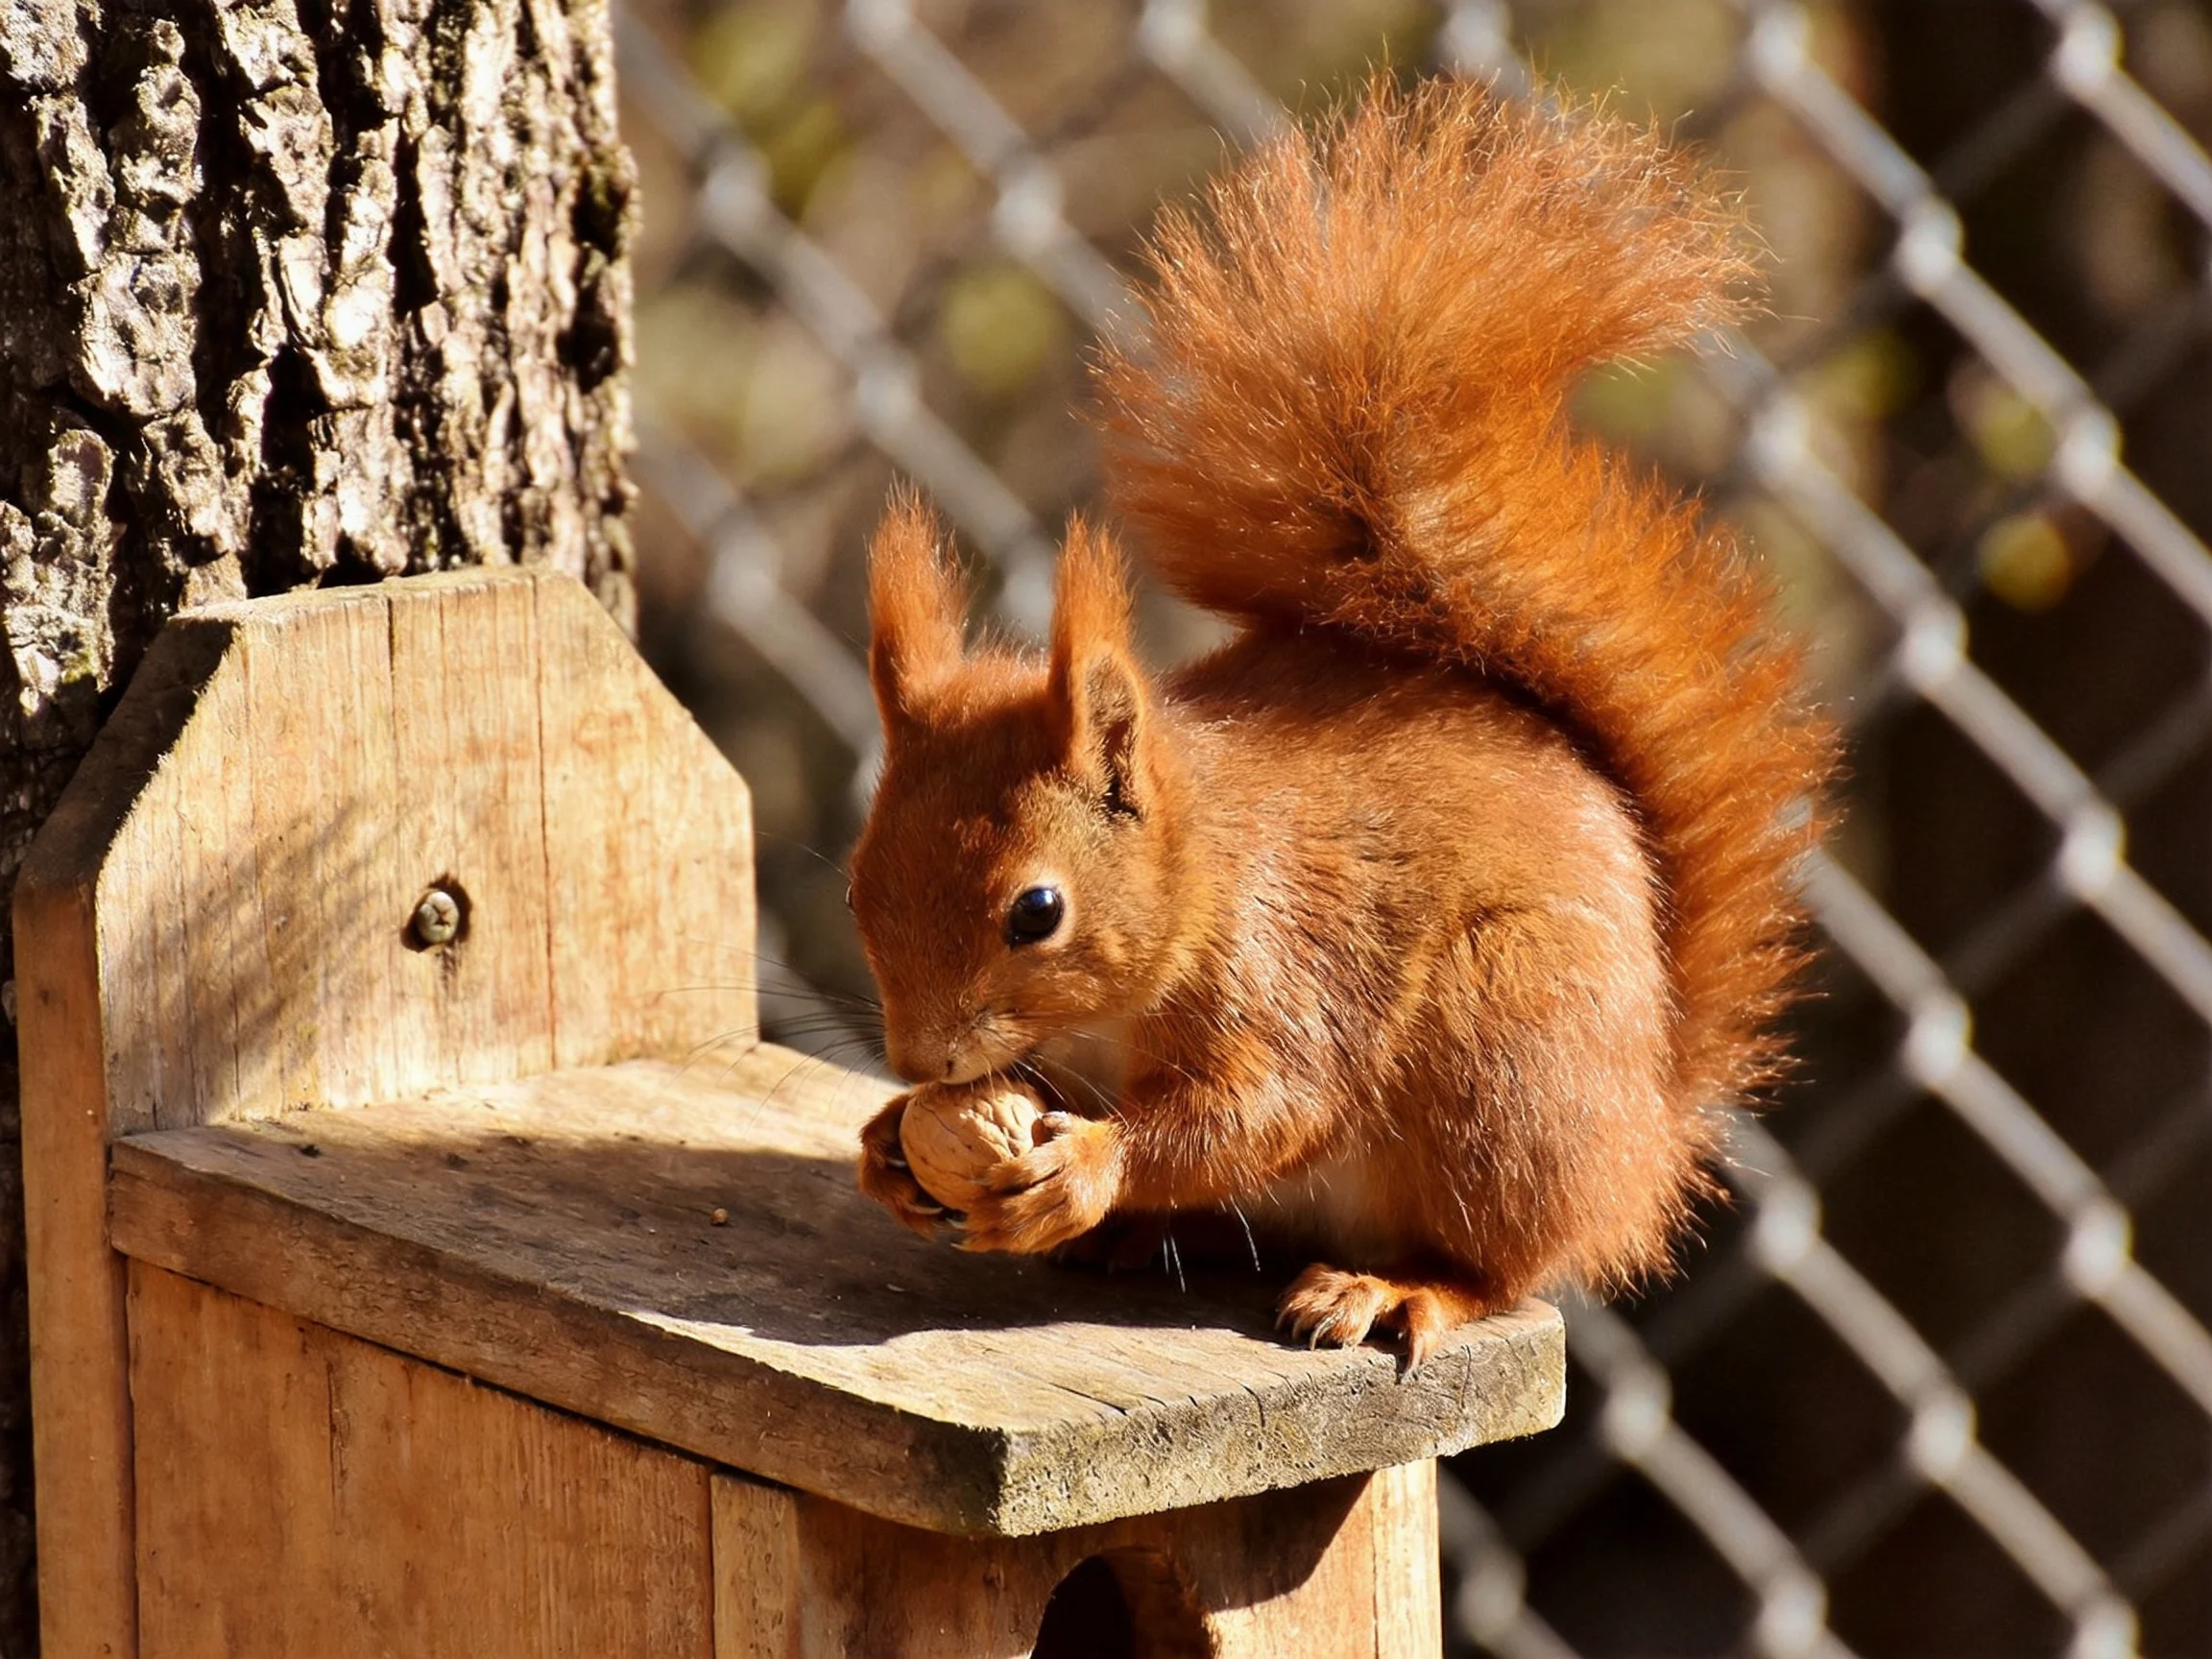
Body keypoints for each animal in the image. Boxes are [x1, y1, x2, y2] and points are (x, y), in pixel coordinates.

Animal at [846, 79, 1834, 1366]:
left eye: (1038, 911)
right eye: (857, 888)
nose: (920, 1060)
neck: (1202, 872)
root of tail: (1646, 1135)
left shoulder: (1287, 967)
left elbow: (1272, 1106)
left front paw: (1090, 1171)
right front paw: (886, 1144)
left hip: (1505, 1064)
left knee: (1500, 1267)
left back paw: (1392, 1287)